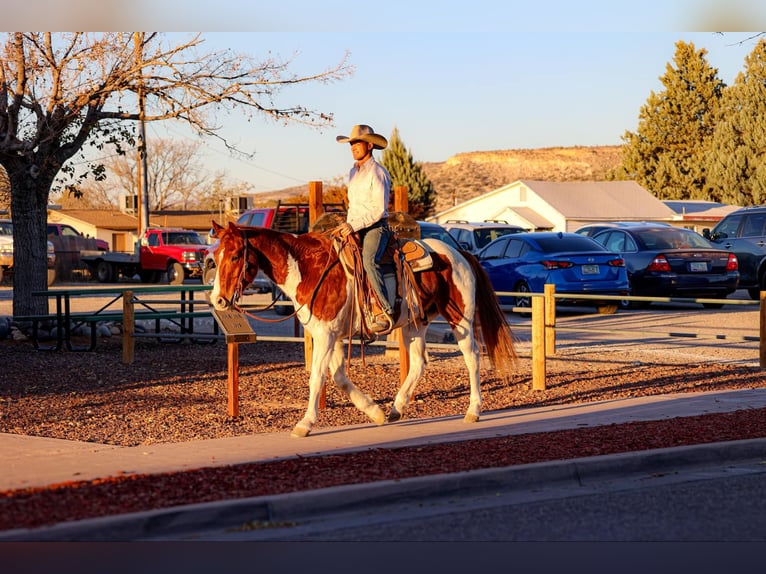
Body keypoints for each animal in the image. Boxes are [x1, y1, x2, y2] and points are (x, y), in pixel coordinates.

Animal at [209, 220, 517, 438]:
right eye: (215, 256)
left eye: (235, 256)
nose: (218, 299)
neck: (308, 269)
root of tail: (460, 253)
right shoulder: (331, 334)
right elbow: (338, 376)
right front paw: (375, 412)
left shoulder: (326, 335)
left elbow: (317, 377)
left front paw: (305, 423)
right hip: (416, 323)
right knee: (419, 362)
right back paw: (396, 408)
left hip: (460, 317)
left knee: (472, 356)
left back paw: (473, 410)